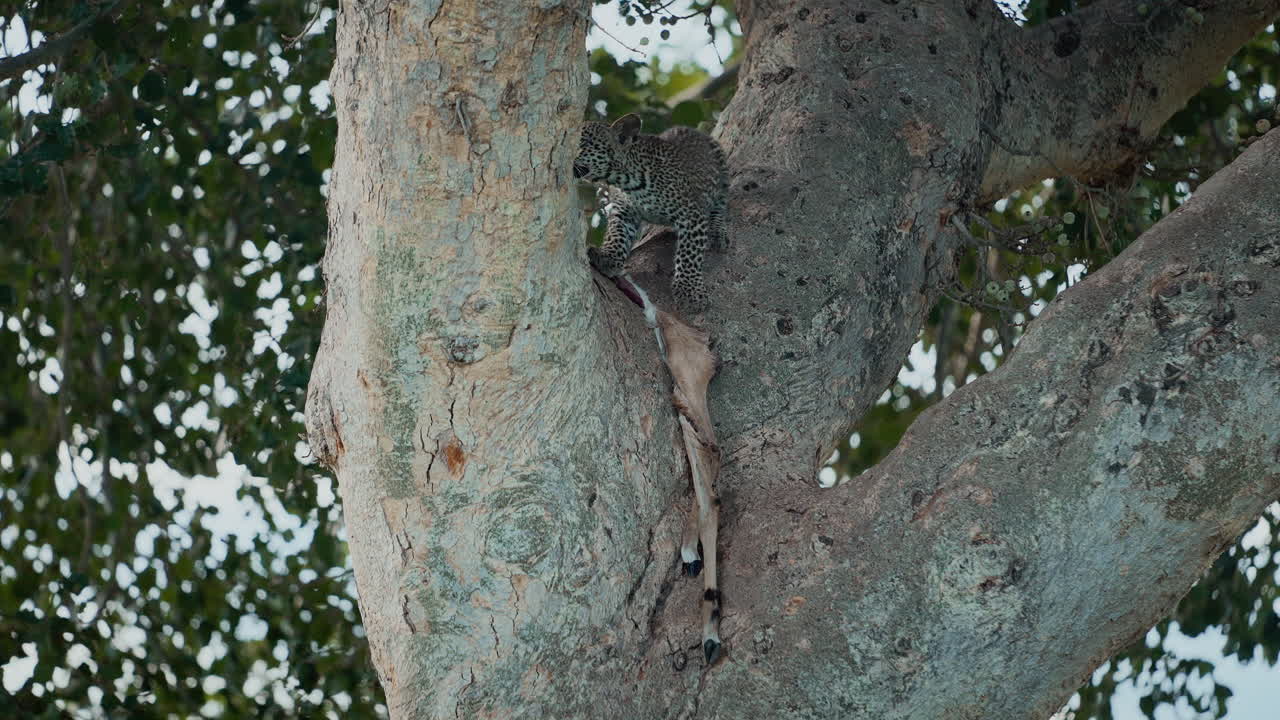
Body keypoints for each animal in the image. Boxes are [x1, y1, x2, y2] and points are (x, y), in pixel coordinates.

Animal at [574, 114, 729, 311]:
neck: (626, 181)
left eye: (581, 142)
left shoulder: (691, 214)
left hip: (722, 170)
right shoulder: (624, 212)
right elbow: (617, 234)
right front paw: (607, 257)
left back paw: (717, 232)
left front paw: (690, 291)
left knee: (721, 206)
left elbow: (689, 254)